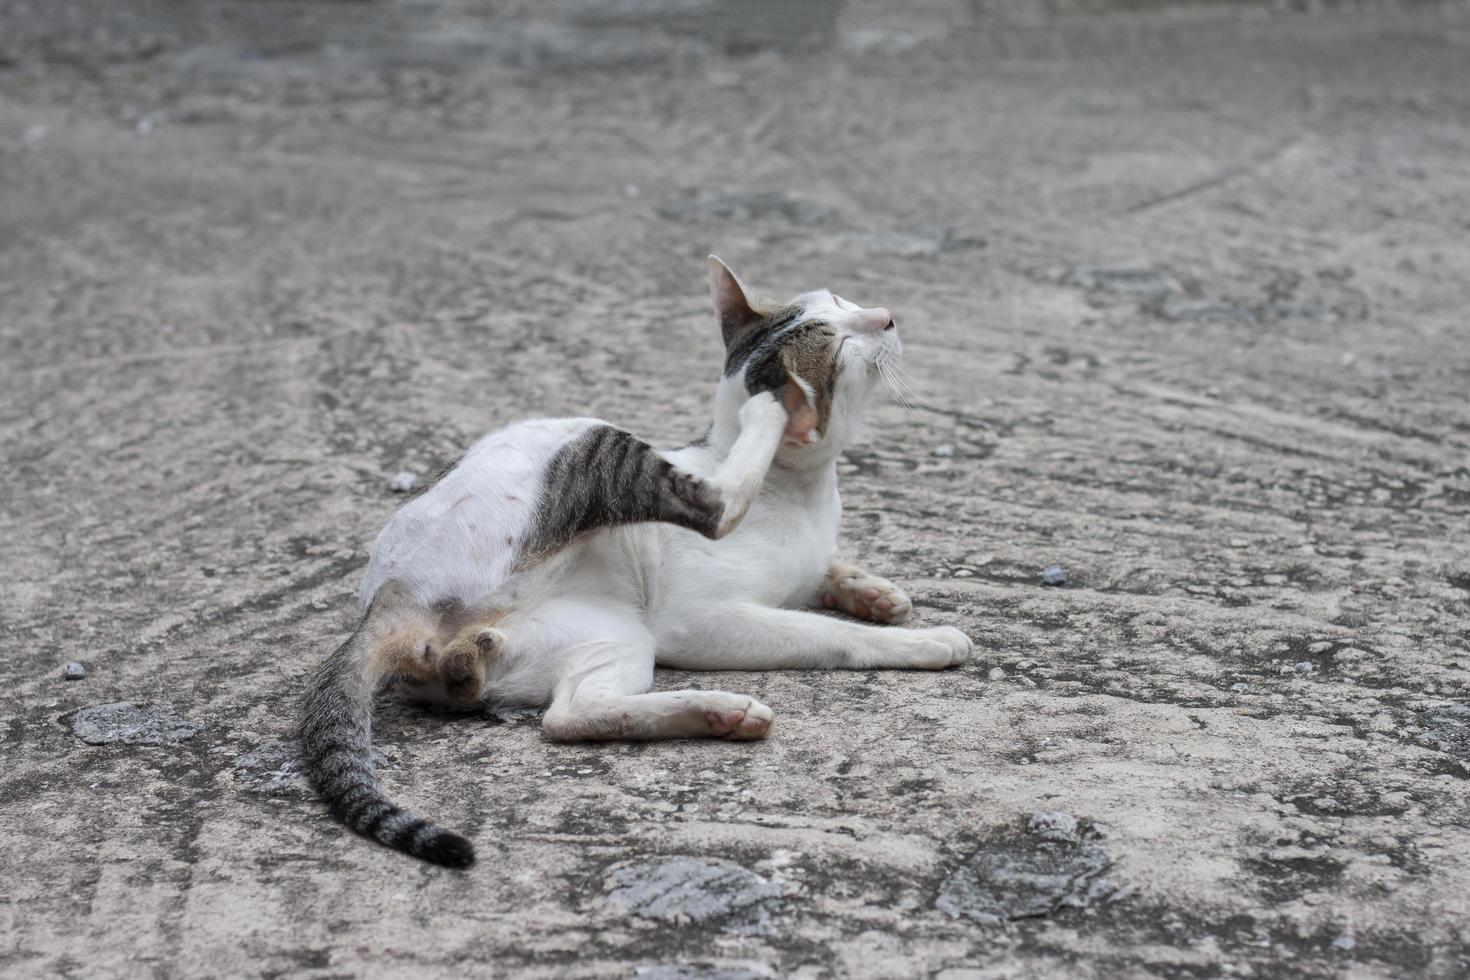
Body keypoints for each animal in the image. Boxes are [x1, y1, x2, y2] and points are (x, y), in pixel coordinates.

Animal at [295, 255, 976, 863]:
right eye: (844, 345)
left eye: (838, 299)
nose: (885, 316)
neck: (805, 494)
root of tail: (387, 597)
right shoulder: (700, 620)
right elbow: (830, 635)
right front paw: (921, 639)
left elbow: (825, 573)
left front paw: (875, 592)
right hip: (590, 443)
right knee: (711, 505)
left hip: (608, 636)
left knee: (570, 714)